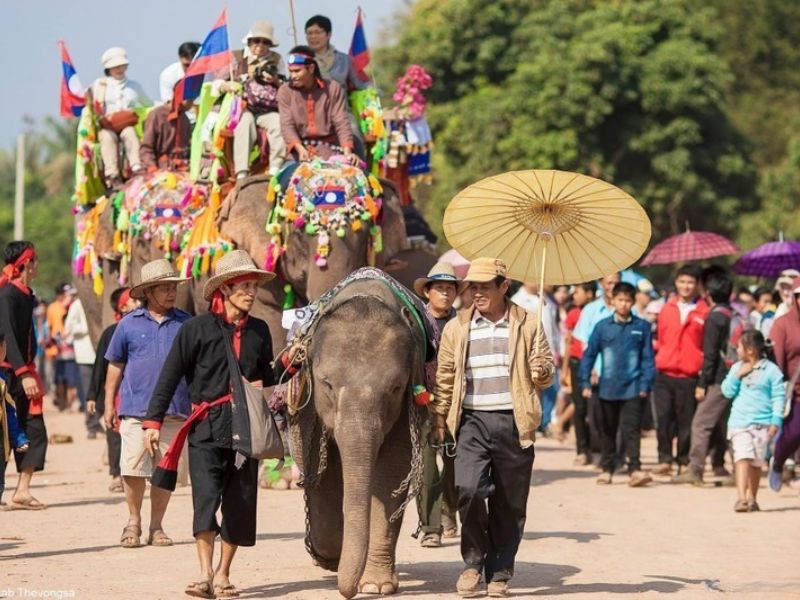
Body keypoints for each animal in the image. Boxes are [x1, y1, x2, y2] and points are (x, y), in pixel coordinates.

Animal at [284, 276, 428, 596]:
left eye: (395, 387)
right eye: (327, 384)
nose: (346, 592)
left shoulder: (405, 405)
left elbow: (392, 472)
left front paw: (375, 585)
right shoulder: (310, 406)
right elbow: (320, 470)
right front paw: (329, 559)